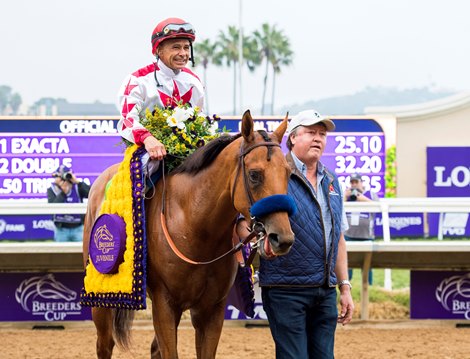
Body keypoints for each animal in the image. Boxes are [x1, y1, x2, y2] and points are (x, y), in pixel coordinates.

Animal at [81, 111, 294, 358]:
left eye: (288, 173)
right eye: (254, 175)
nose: (282, 238)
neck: (196, 229)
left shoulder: (211, 310)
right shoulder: (164, 305)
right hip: (101, 296)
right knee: (105, 344)